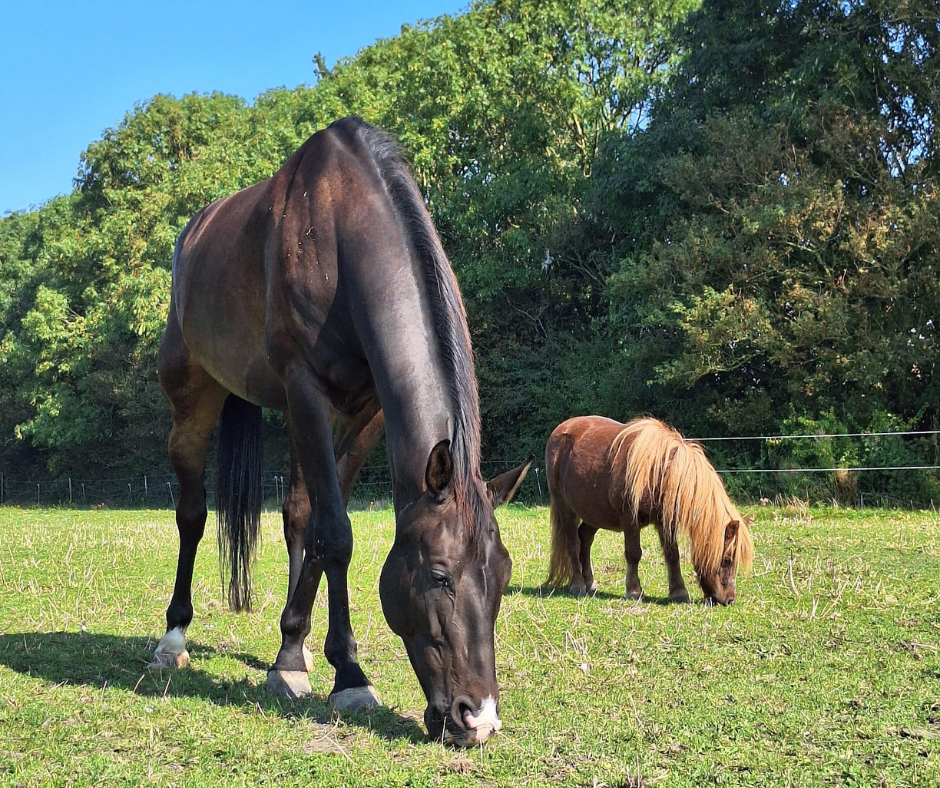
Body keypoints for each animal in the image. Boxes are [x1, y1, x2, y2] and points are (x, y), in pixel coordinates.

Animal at [150, 117, 531, 747]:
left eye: (501, 577)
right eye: (439, 575)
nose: (478, 719)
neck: (340, 231)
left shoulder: (365, 412)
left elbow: (321, 529)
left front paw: (296, 657)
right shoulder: (306, 391)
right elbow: (339, 533)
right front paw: (349, 675)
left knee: (295, 513)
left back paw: (294, 649)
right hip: (193, 400)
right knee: (192, 514)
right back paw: (172, 637)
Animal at [545, 416, 753, 605]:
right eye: (727, 560)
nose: (729, 600)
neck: (659, 471)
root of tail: (561, 430)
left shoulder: (666, 522)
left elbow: (672, 554)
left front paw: (679, 593)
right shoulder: (630, 519)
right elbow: (634, 553)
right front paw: (634, 591)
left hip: (595, 513)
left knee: (585, 538)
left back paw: (590, 582)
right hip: (565, 508)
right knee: (573, 543)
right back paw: (578, 585)